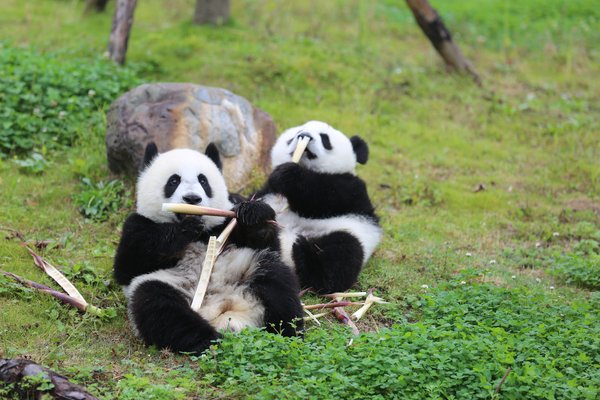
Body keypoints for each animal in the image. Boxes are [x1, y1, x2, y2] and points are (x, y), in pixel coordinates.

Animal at [112, 143, 302, 354]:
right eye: (173, 181)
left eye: (203, 180)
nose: (192, 198)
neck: (202, 232)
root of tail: (221, 311)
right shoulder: (136, 226)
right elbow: (128, 265)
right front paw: (184, 229)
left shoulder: (228, 218)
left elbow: (269, 244)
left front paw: (254, 213)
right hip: (171, 285)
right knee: (159, 306)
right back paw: (209, 340)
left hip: (249, 267)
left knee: (277, 284)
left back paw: (286, 334)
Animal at [255, 119, 382, 294]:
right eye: (296, 133)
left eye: (325, 138)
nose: (304, 135)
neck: (308, 168)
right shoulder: (268, 192)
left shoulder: (353, 190)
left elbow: (325, 197)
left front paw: (288, 174)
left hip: (348, 232)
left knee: (340, 258)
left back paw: (303, 254)